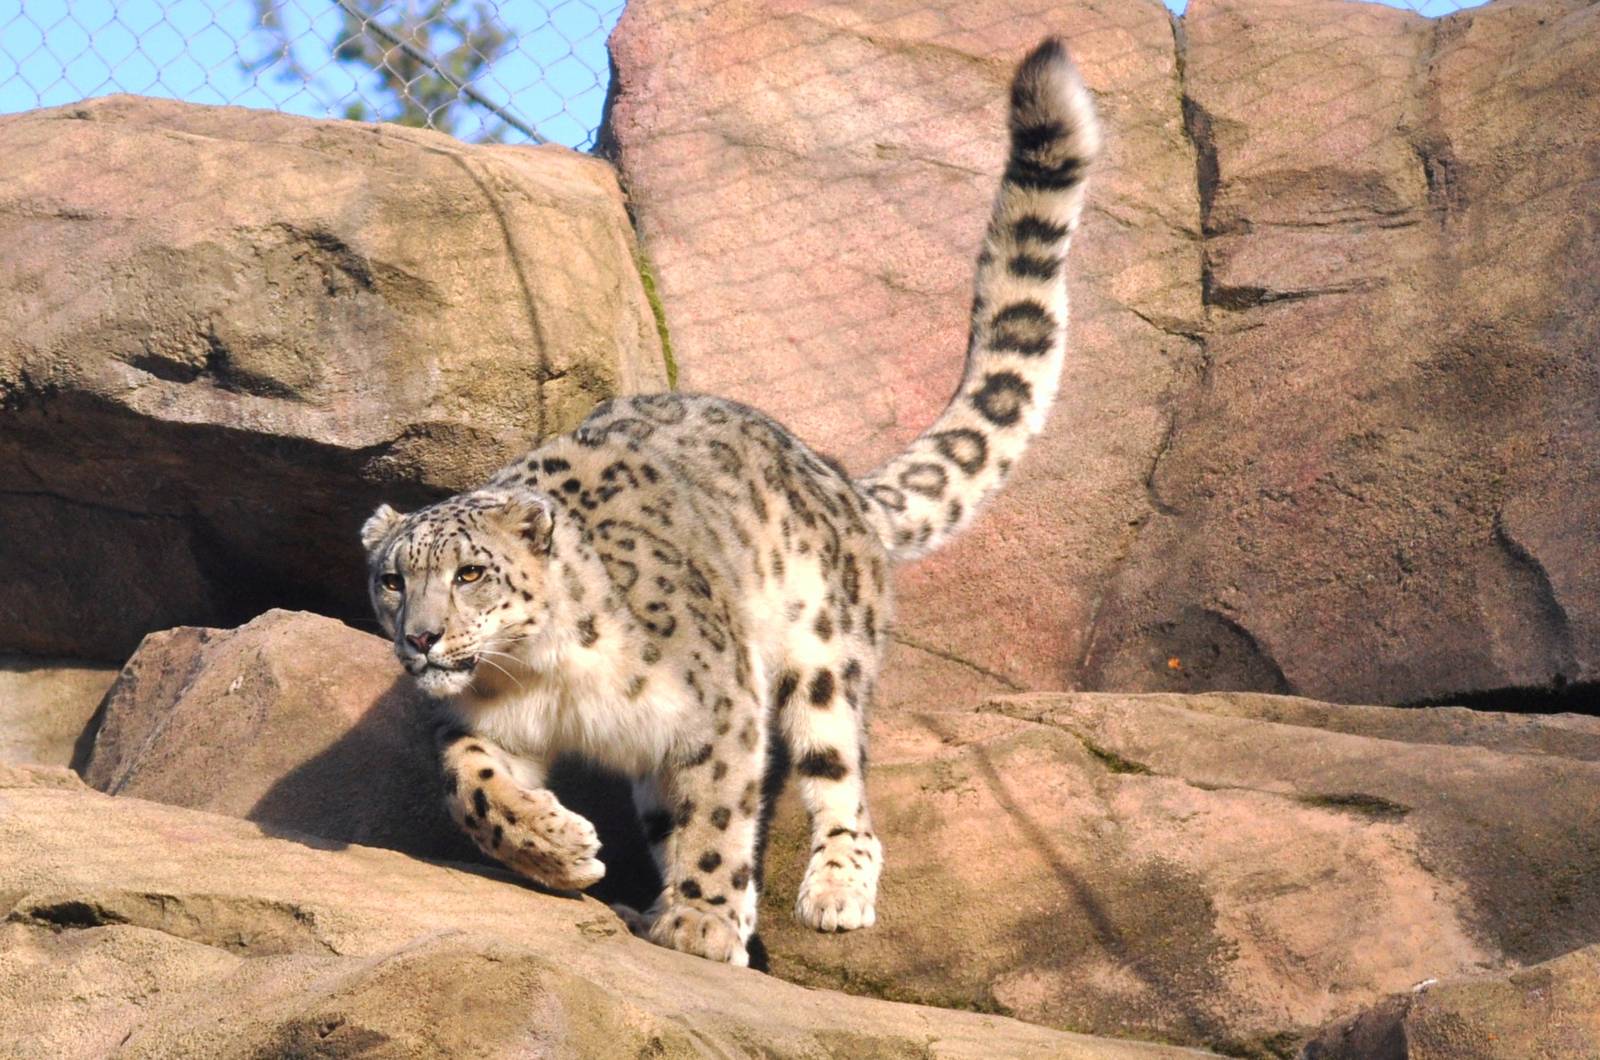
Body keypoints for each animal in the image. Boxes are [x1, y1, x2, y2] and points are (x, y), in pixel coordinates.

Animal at [359, 37, 1099, 967]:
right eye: (393, 580)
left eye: (469, 574)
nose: (421, 639)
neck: (544, 677)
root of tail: (833, 477)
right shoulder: (472, 721)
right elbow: (476, 789)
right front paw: (562, 849)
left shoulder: (717, 706)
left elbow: (718, 815)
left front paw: (702, 923)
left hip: (824, 656)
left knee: (841, 783)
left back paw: (830, 892)